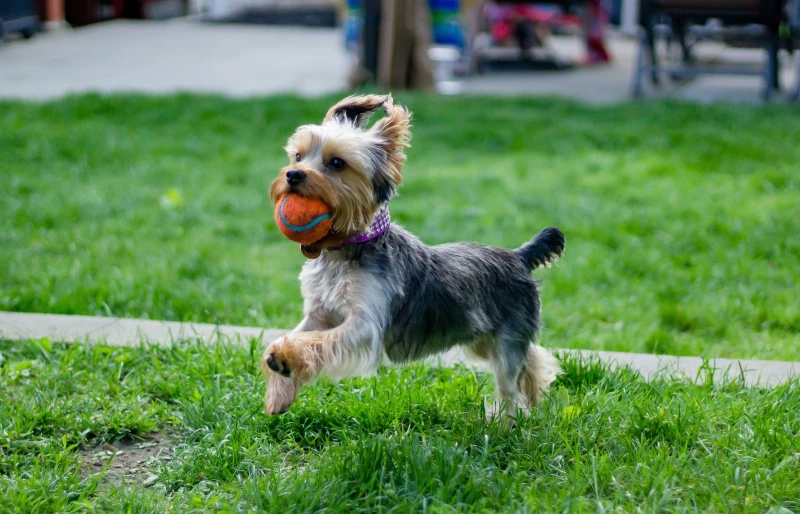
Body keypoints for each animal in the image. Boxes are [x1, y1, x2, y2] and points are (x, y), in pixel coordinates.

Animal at [260, 94, 564, 414]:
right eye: (297, 156)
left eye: (337, 163)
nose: (293, 174)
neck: (344, 248)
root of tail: (519, 256)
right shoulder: (320, 312)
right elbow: (299, 334)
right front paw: (279, 385)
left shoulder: (366, 324)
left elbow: (319, 341)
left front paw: (285, 359)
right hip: (479, 336)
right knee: (532, 359)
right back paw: (537, 394)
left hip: (507, 333)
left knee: (509, 384)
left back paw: (508, 419)